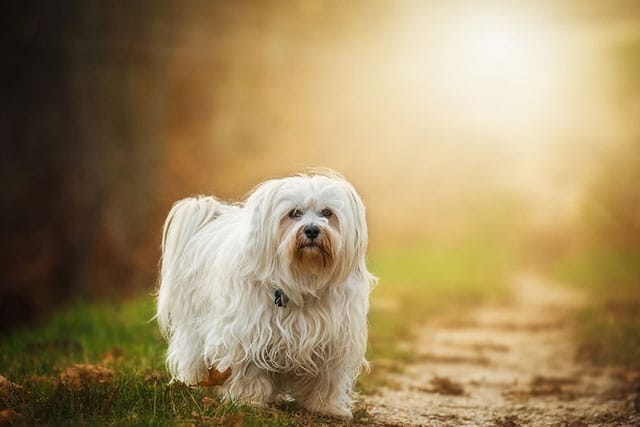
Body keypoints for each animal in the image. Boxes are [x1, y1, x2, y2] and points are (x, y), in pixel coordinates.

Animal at [156, 171, 376, 418]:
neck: (303, 278)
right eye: (294, 213)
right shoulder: (248, 334)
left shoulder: (334, 340)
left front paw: (326, 407)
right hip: (193, 326)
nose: (311, 230)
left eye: (327, 213)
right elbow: (248, 370)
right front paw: (247, 401)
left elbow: (327, 378)